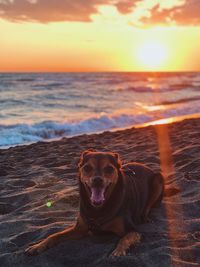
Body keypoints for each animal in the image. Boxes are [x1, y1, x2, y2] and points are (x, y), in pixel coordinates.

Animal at [26, 151, 167, 258]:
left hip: (158, 180)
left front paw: (118, 251)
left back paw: (145, 218)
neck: (98, 209)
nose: (97, 180)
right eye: (87, 168)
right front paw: (38, 245)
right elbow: (55, 235)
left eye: (109, 169)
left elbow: (125, 239)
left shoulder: (133, 230)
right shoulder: (79, 229)